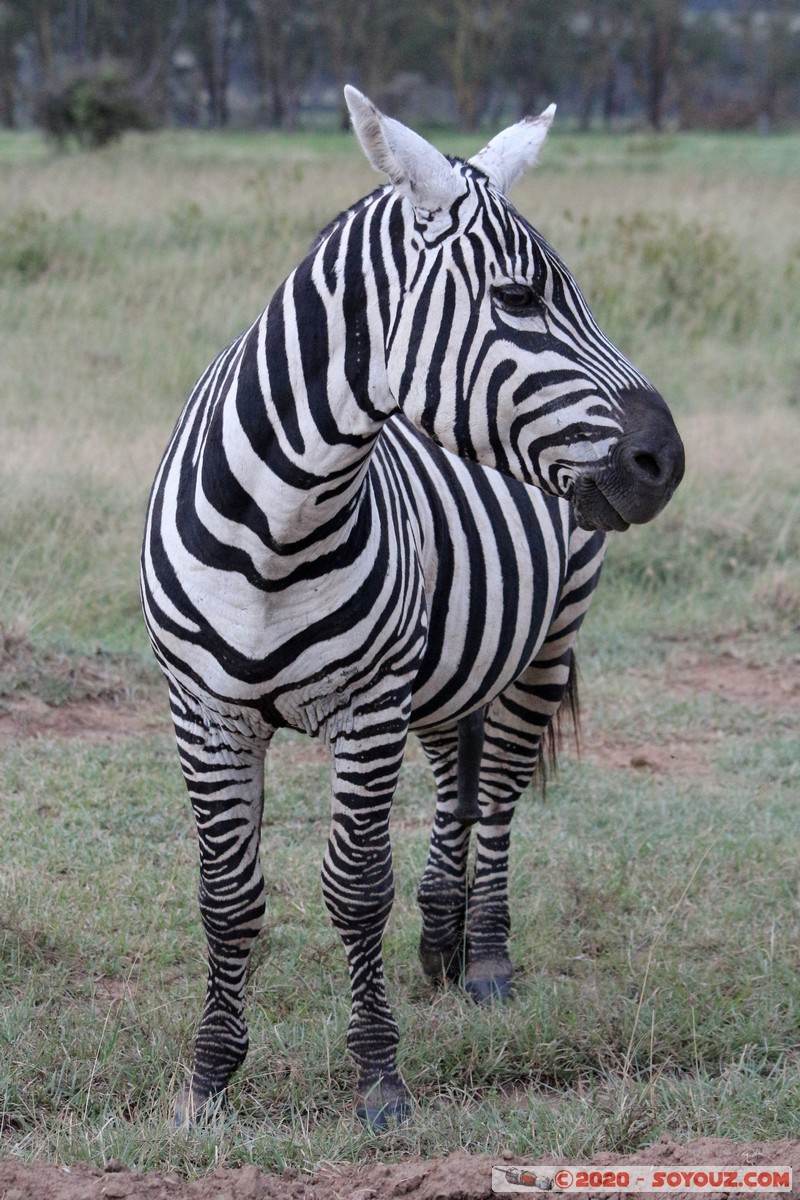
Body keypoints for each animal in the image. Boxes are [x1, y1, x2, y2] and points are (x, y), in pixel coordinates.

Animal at [140, 88, 686, 1128]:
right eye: (518, 300)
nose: (664, 462)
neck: (281, 523)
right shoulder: (205, 712)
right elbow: (226, 896)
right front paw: (208, 1078)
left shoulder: (369, 703)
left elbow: (356, 888)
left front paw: (380, 1079)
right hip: (443, 664)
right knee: (459, 777)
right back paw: (439, 942)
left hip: (546, 637)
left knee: (500, 785)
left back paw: (484, 958)